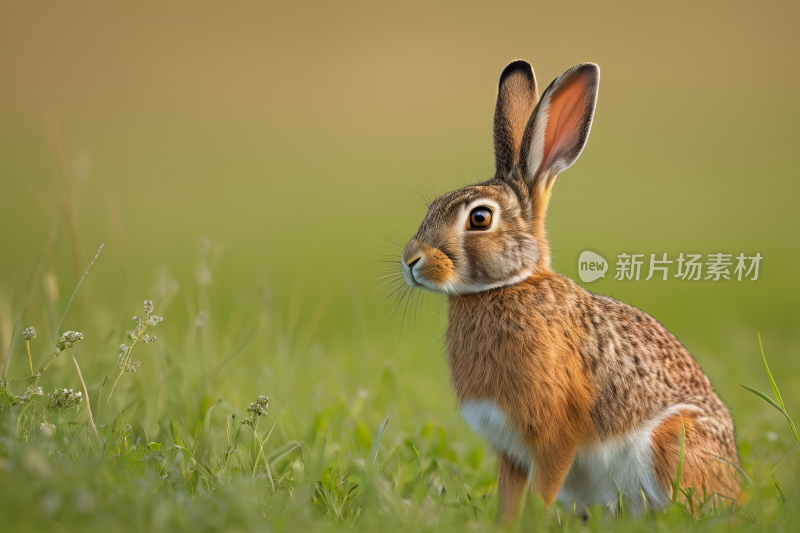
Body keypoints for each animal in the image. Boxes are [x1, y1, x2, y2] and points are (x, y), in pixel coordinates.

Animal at [400, 60, 744, 520]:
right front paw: (505, 525)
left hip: (671, 442)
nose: (411, 260)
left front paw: (534, 522)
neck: (508, 285)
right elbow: (510, 497)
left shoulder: (553, 436)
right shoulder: (509, 448)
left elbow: (541, 492)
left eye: (479, 219)